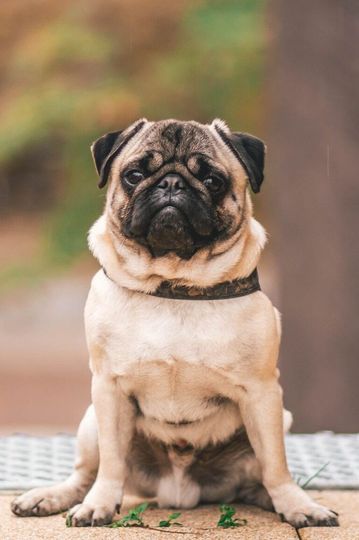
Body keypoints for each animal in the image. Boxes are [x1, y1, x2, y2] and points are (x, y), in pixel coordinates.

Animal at [10, 119, 338, 528]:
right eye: (134, 175)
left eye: (213, 181)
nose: (170, 183)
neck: (174, 285)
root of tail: (178, 492)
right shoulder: (108, 389)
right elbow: (112, 463)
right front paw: (99, 503)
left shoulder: (262, 393)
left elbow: (276, 465)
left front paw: (297, 505)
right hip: (89, 422)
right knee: (85, 473)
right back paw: (51, 497)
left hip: (280, 419)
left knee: (259, 475)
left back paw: (274, 498)